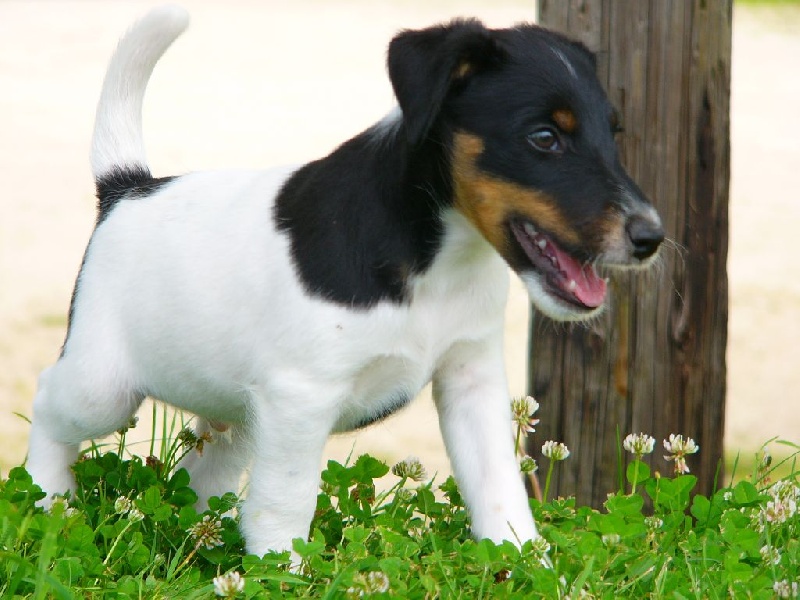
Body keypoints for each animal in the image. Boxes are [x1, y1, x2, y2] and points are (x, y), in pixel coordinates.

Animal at [25, 4, 664, 556]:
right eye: (544, 138)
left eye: (613, 134)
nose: (651, 237)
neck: (431, 260)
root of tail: (126, 189)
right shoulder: (303, 396)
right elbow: (284, 504)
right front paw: (280, 571)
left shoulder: (471, 380)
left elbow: (499, 492)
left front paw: (529, 564)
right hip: (104, 390)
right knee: (49, 404)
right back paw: (47, 501)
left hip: (236, 415)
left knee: (202, 473)